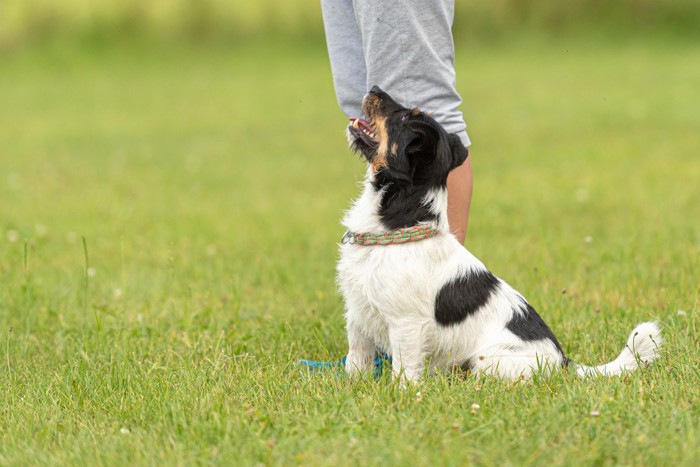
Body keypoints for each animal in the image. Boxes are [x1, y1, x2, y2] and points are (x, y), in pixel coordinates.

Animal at [336, 87, 660, 384]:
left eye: (404, 116)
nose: (374, 88)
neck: (396, 224)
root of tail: (564, 363)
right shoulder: (358, 314)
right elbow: (356, 359)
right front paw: (352, 388)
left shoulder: (406, 324)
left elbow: (405, 372)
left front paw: (403, 396)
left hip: (486, 361)